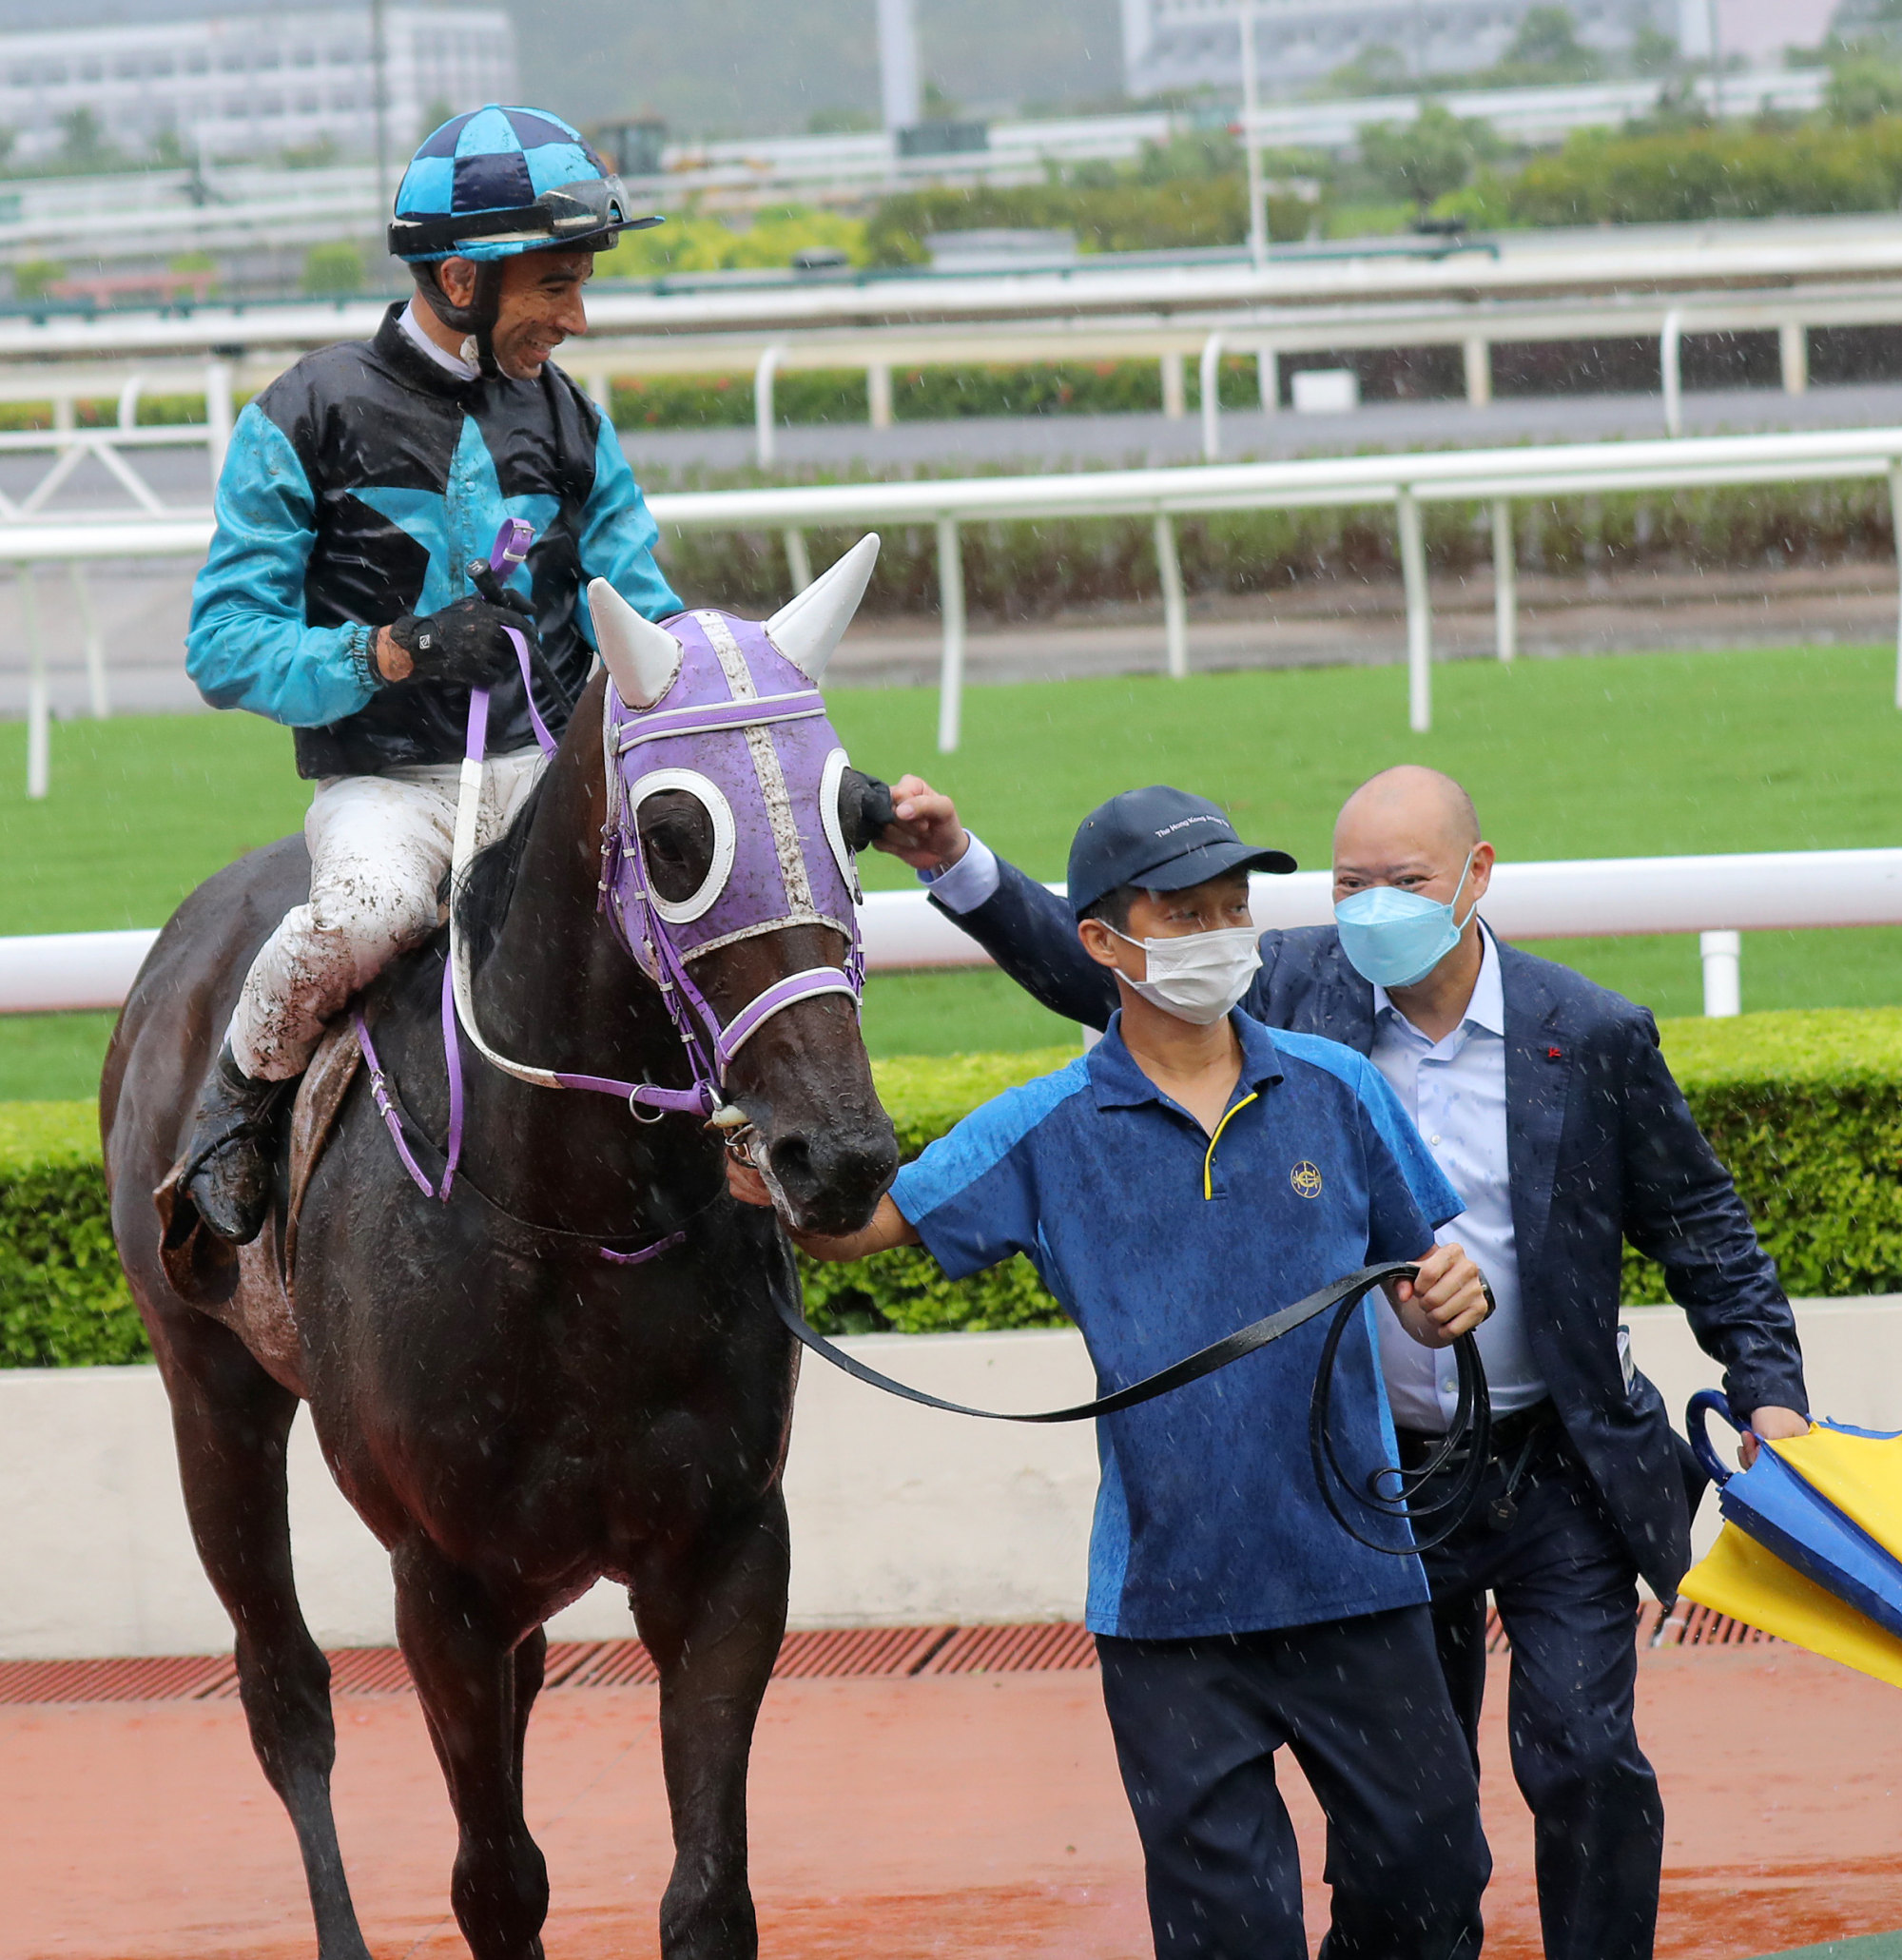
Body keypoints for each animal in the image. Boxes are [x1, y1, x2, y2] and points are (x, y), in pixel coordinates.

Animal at [102, 556, 898, 1960]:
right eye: (678, 836)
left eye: (855, 815)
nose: (838, 1153)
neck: (572, 1225)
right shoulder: (443, 1580)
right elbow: (495, 1884)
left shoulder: (729, 1546)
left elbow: (707, 1895)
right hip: (210, 1388)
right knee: (284, 1692)